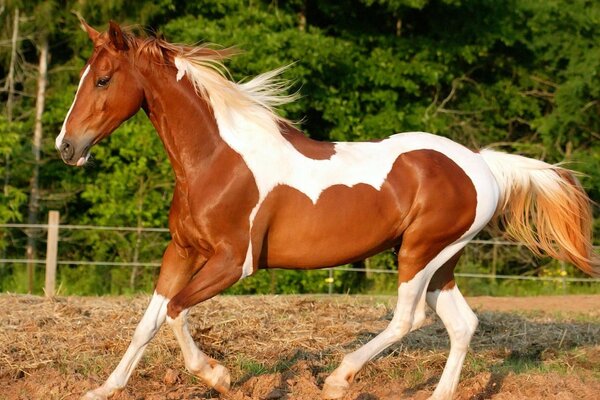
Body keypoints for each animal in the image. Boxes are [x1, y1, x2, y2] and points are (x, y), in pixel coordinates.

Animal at [57, 21, 600, 400]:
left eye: (103, 79)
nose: (67, 147)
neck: (218, 159)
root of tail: (481, 163)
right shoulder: (182, 251)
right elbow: (149, 320)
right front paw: (104, 388)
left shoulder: (234, 262)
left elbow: (174, 311)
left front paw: (218, 375)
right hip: (441, 260)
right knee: (461, 323)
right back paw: (436, 393)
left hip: (420, 253)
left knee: (409, 318)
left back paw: (339, 379)